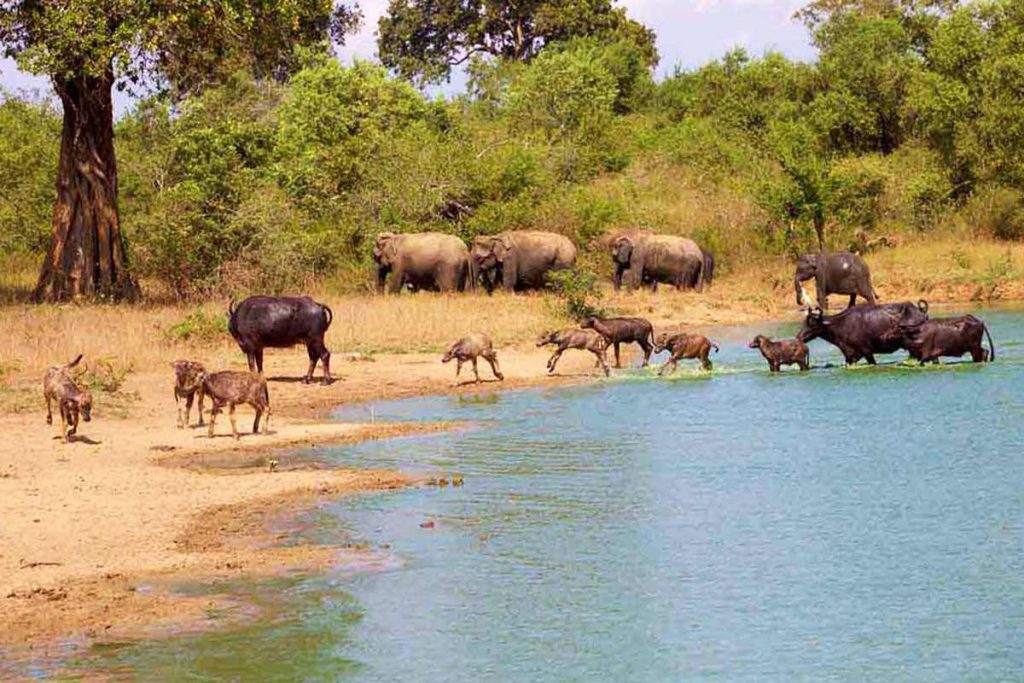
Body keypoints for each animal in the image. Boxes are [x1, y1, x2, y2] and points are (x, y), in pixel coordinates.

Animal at [794, 299, 933, 362]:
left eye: (812, 324)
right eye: (805, 322)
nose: (799, 337)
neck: (842, 325)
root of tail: (921, 312)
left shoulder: (867, 352)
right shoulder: (850, 356)